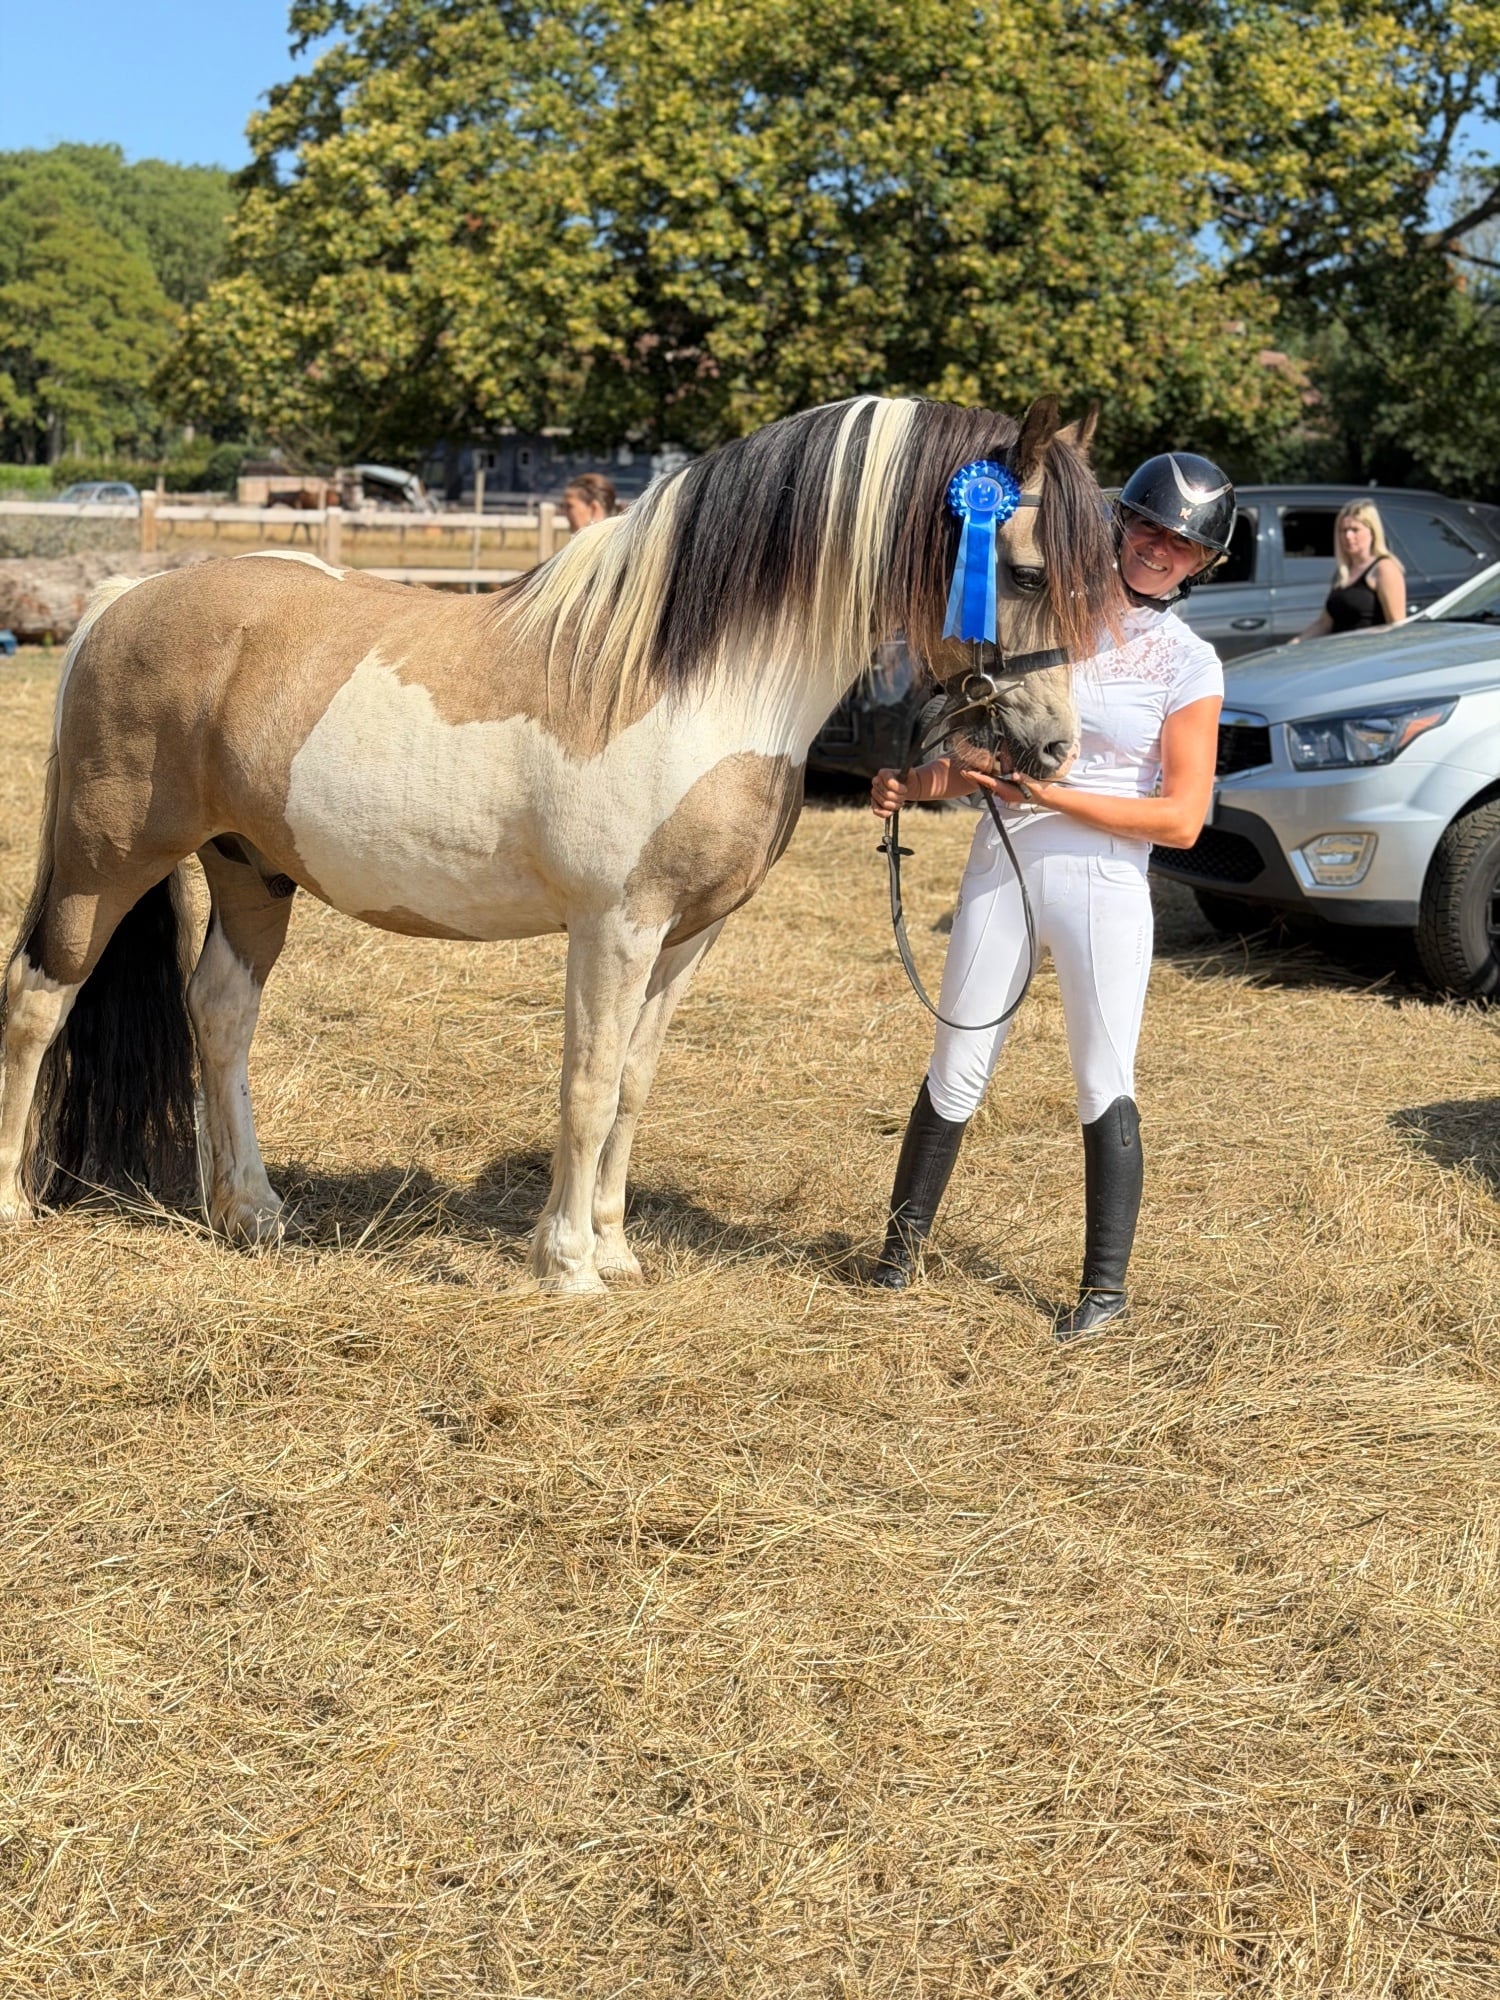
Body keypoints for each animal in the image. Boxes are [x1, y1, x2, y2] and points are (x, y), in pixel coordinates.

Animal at [0, 393, 1117, 1294]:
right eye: (1023, 571)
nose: (1056, 747)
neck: (698, 680)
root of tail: (119, 603)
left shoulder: (687, 936)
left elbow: (632, 1083)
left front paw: (615, 1251)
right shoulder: (614, 926)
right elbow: (585, 1082)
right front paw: (570, 1263)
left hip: (250, 869)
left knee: (221, 1014)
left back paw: (254, 1210)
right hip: (105, 863)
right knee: (37, 999)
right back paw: (15, 1203)